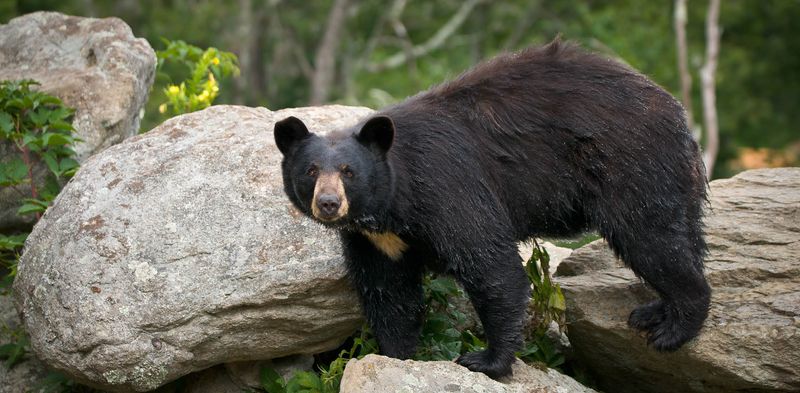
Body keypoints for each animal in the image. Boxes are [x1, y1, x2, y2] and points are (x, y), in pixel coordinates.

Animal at [274, 39, 708, 376]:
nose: (329, 203)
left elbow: (490, 264)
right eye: (311, 170)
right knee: (682, 234)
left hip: (629, 164)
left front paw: (487, 360)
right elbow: (389, 292)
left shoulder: (447, 187)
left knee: (649, 238)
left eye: (349, 172)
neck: (393, 204)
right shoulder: (375, 240)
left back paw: (674, 327)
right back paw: (655, 311)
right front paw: (396, 355)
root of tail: (676, 111)